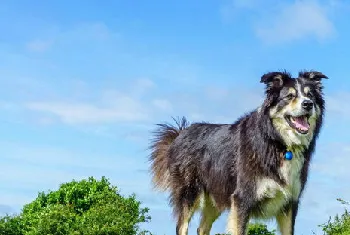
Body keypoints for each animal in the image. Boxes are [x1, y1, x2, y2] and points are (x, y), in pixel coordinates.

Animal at [148, 70, 328, 235]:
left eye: (310, 95)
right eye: (289, 96)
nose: (308, 104)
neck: (277, 142)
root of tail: (180, 134)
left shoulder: (290, 203)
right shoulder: (242, 199)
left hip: (216, 196)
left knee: (202, 228)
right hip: (189, 193)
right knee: (182, 226)